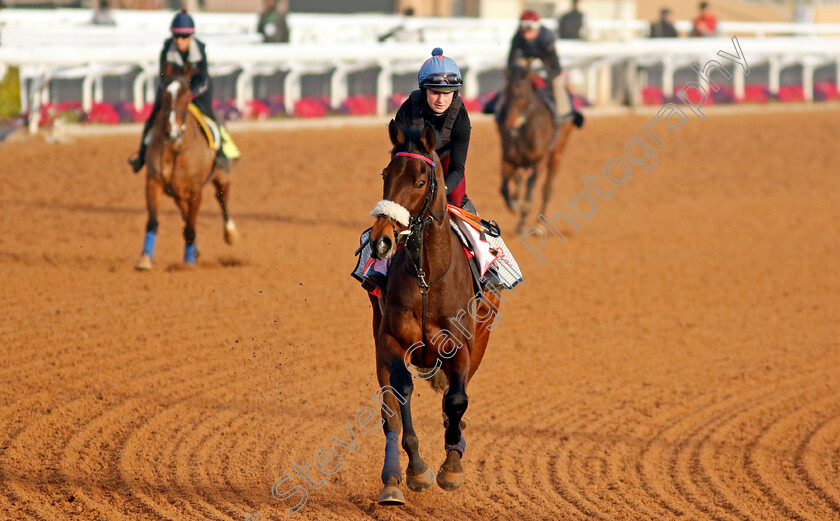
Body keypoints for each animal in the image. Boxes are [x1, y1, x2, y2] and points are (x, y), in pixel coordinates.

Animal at [135, 63, 238, 270]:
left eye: (185, 93)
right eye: (164, 92)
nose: (173, 132)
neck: (176, 149)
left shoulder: (195, 190)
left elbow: (190, 226)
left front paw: (188, 263)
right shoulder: (153, 182)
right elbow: (153, 221)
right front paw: (145, 259)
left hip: (221, 175)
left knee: (222, 198)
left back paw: (230, 233)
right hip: (177, 192)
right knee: (185, 212)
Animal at [366, 121, 498, 504]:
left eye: (421, 181)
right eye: (386, 175)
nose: (381, 240)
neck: (427, 278)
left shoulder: (462, 346)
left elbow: (456, 401)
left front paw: (452, 466)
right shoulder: (391, 342)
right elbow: (401, 397)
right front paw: (417, 470)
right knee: (389, 414)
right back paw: (392, 481)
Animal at [498, 62, 576, 233]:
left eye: (524, 95)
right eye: (507, 94)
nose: (511, 124)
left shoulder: (538, 161)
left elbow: (530, 188)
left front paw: (522, 220)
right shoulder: (508, 160)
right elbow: (504, 188)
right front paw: (515, 206)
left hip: (556, 154)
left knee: (547, 189)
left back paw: (540, 226)